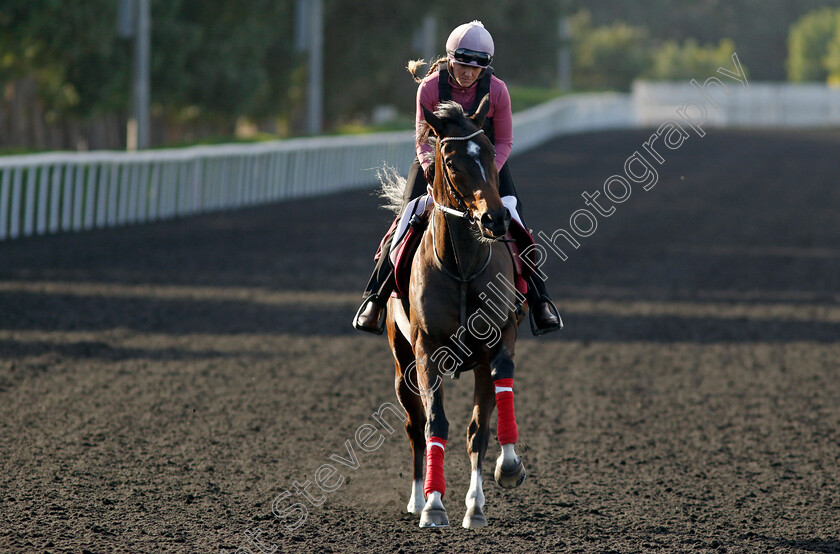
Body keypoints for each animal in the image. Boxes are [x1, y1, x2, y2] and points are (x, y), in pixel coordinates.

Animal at [386, 95, 528, 528]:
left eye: (488, 150)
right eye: (450, 160)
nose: (495, 218)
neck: (463, 266)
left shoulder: (497, 340)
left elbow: (482, 423)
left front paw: (499, 477)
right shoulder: (426, 349)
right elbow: (436, 422)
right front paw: (434, 504)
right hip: (401, 361)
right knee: (415, 425)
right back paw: (417, 498)